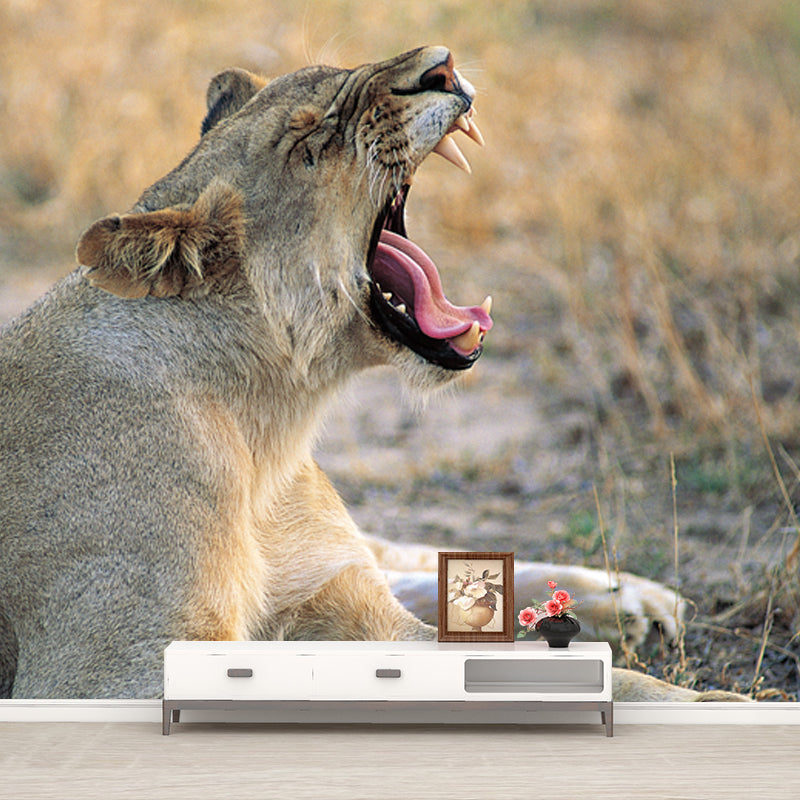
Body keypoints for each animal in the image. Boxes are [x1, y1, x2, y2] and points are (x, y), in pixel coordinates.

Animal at [0, 47, 724, 702]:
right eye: (312, 139)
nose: (442, 66)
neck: (270, 422)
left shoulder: (339, 592)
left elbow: (629, 682)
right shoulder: (99, 670)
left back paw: (629, 597)